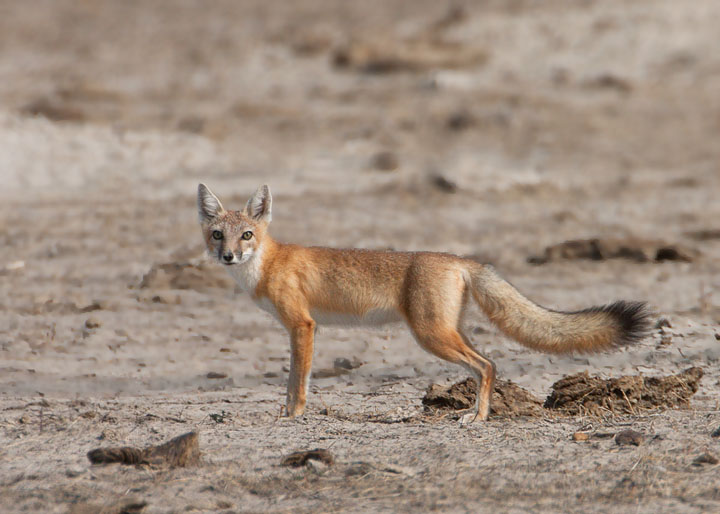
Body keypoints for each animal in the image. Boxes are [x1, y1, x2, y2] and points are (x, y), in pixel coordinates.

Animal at [198, 184, 652, 420]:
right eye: (218, 235)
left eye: (247, 235)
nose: (228, 257)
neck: (269, 263)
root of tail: (460, 259)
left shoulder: (303, 326)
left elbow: (297, 381)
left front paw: (291, 415)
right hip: (449, 331)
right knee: (489, 362)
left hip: (431, 336)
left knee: (486, 365)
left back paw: (476, 417)